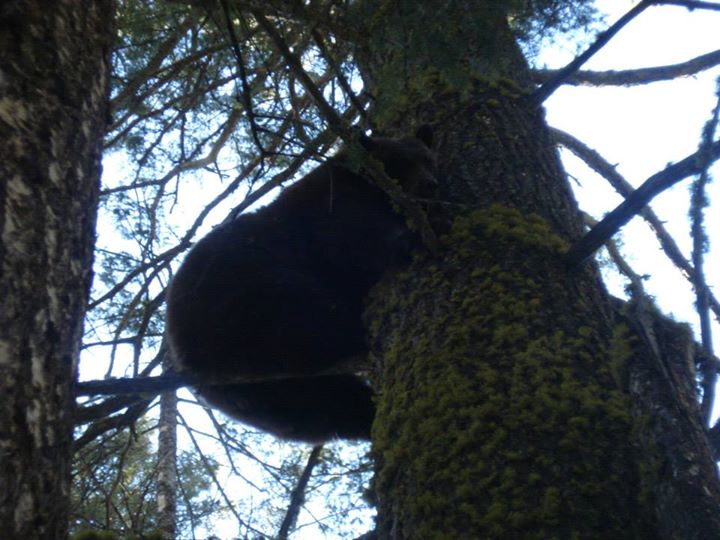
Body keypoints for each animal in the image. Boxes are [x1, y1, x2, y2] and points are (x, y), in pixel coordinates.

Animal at [165, 125, 435, 442]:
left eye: (428, 160)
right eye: (399, 163)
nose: (430, 184)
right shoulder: (330, 207)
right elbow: (358, 239)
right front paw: (410, 240)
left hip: (271, 394)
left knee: (325, 407)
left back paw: (371, 416)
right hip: (243, 298)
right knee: (307, 310)